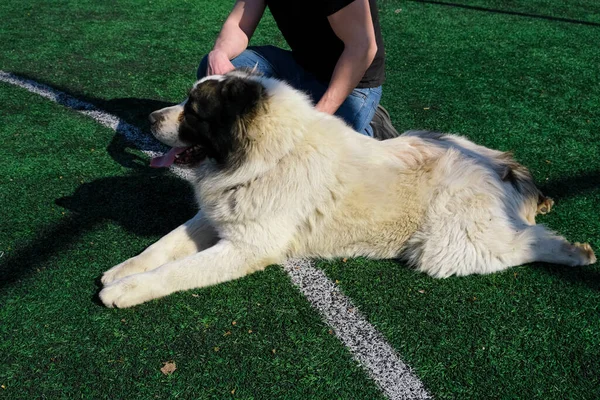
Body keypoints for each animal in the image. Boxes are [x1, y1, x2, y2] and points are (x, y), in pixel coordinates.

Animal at [98, 69, 596, 308]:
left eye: (194, 110)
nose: (149, 119)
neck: (270, 156)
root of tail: (502, 166)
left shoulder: (245, 247)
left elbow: (176, 271)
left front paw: (127, 290)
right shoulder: (213, 217)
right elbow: (162, 247)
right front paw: (122, 270)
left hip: (450, 245)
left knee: (528, 241)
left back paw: (575, 253)